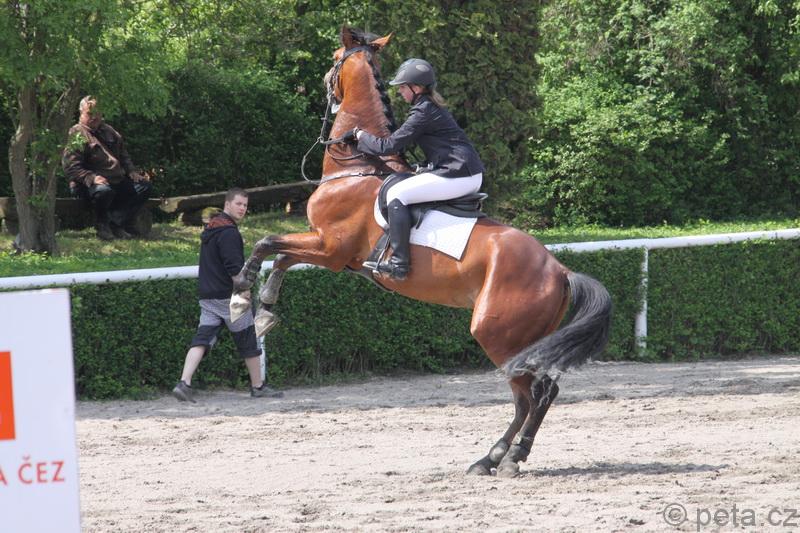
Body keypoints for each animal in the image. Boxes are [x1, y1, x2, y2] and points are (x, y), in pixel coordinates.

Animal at [231, 26, 612, 477]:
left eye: (335, 58)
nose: (323, 82)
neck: (356, 165)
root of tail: (559, 269)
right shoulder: (327, 249)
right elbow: (282, 256)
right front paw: (265, 310)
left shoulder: (331, 248)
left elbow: (267, 243)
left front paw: (241, 298)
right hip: (527, 337)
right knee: (541, 392)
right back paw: (492, 458)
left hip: (497, 333)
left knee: (531, 395)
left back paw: (506, 458)